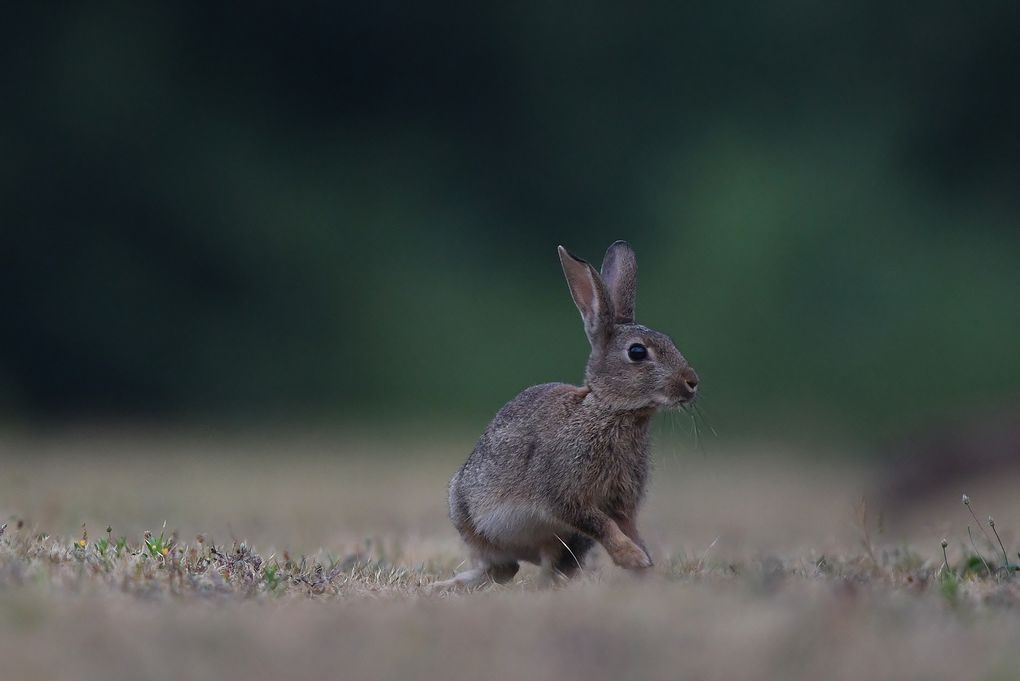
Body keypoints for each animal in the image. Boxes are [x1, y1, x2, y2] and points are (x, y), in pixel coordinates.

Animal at [434, 241, 697, 587]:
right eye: (637, 352)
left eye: (669, 341)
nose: (692, 382)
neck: (609, 411)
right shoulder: (564, 495)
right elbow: (601, 523)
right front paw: (634, 558)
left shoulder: (621, 503)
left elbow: (627, 528)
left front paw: (644, 565)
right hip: (466, 513)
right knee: (500, 567)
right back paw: (447, 585)